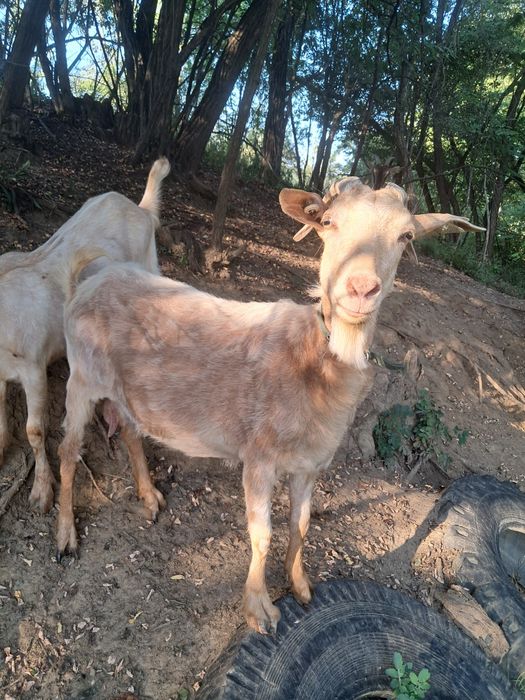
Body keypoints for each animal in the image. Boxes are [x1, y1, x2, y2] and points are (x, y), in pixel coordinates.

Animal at [56, 178, 482, 633]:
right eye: (328, 223)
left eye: (407, 236)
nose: (361, 289)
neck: (314, 363)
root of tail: (89, 279)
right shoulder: (258, 457)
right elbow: (262, 534)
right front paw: (259, 609)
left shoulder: (310, 464)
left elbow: (302, 524)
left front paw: (301, 586)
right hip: (82, 377)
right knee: (67, 451)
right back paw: (65, 537)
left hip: (128, 390)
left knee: (132, 431)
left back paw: (149, 496)